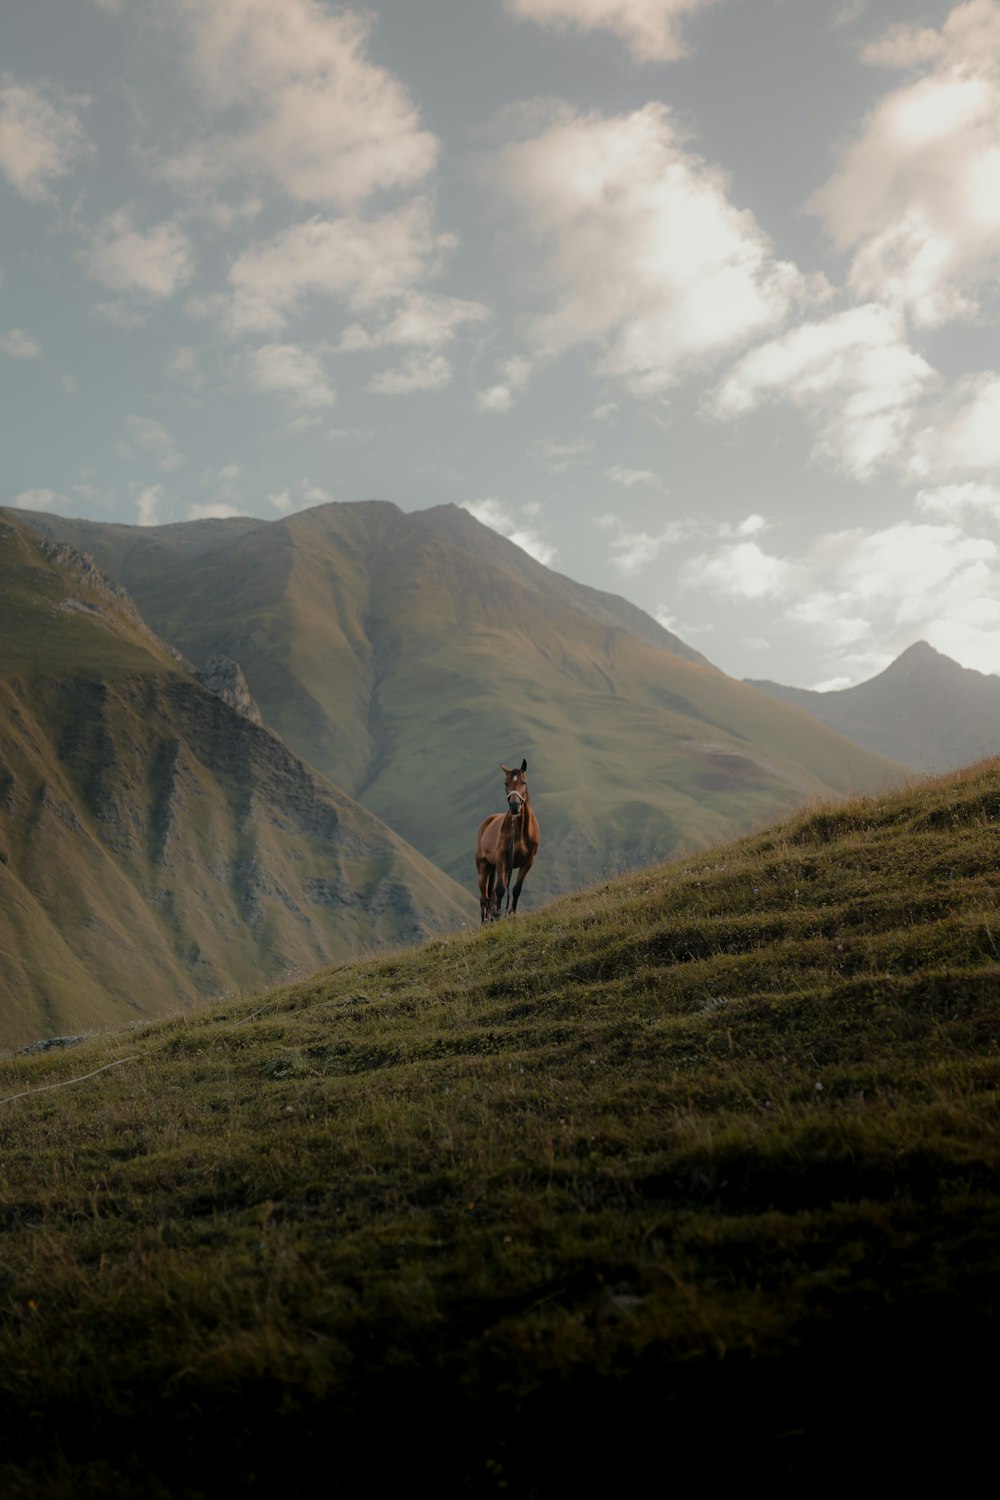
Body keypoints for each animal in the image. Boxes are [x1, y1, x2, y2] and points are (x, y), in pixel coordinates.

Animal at [476, 756, 539, 918]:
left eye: (523, 782)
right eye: (506, 783)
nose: (514, 806)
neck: (520, 831)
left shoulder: (528, 862)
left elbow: (516, 889)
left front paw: (511, 913)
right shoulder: (502, 861)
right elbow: (501, 890)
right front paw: (498, 914)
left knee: (490, 896)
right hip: (484, 869)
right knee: (484, 899)